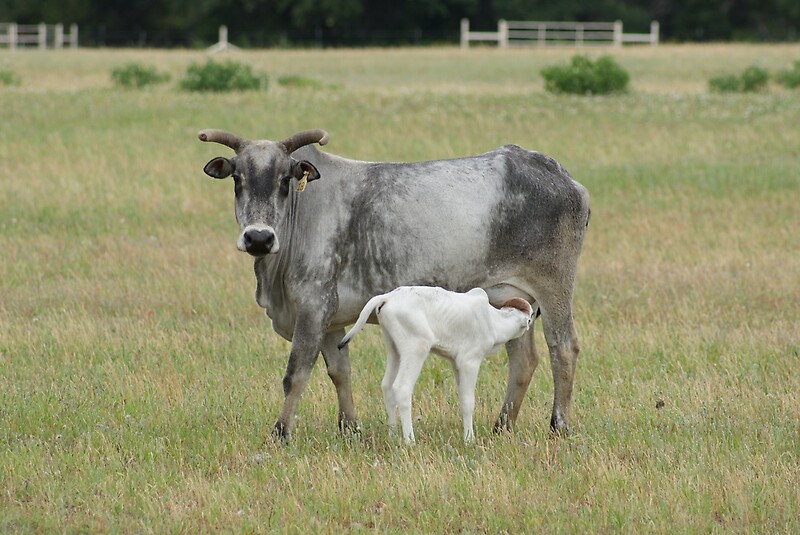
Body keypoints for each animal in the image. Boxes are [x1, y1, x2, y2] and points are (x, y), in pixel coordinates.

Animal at [338, 286, 532, 446]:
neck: (491, 319)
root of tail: (386, 298)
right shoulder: (469, 362)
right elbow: (468, 401)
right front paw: (469, 439)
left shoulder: (456, 364)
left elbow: (461, 399)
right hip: (416, 348)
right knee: (401, 387)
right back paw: (410, 441)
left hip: (394, 350)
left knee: (386, 386)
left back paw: (393, 437)